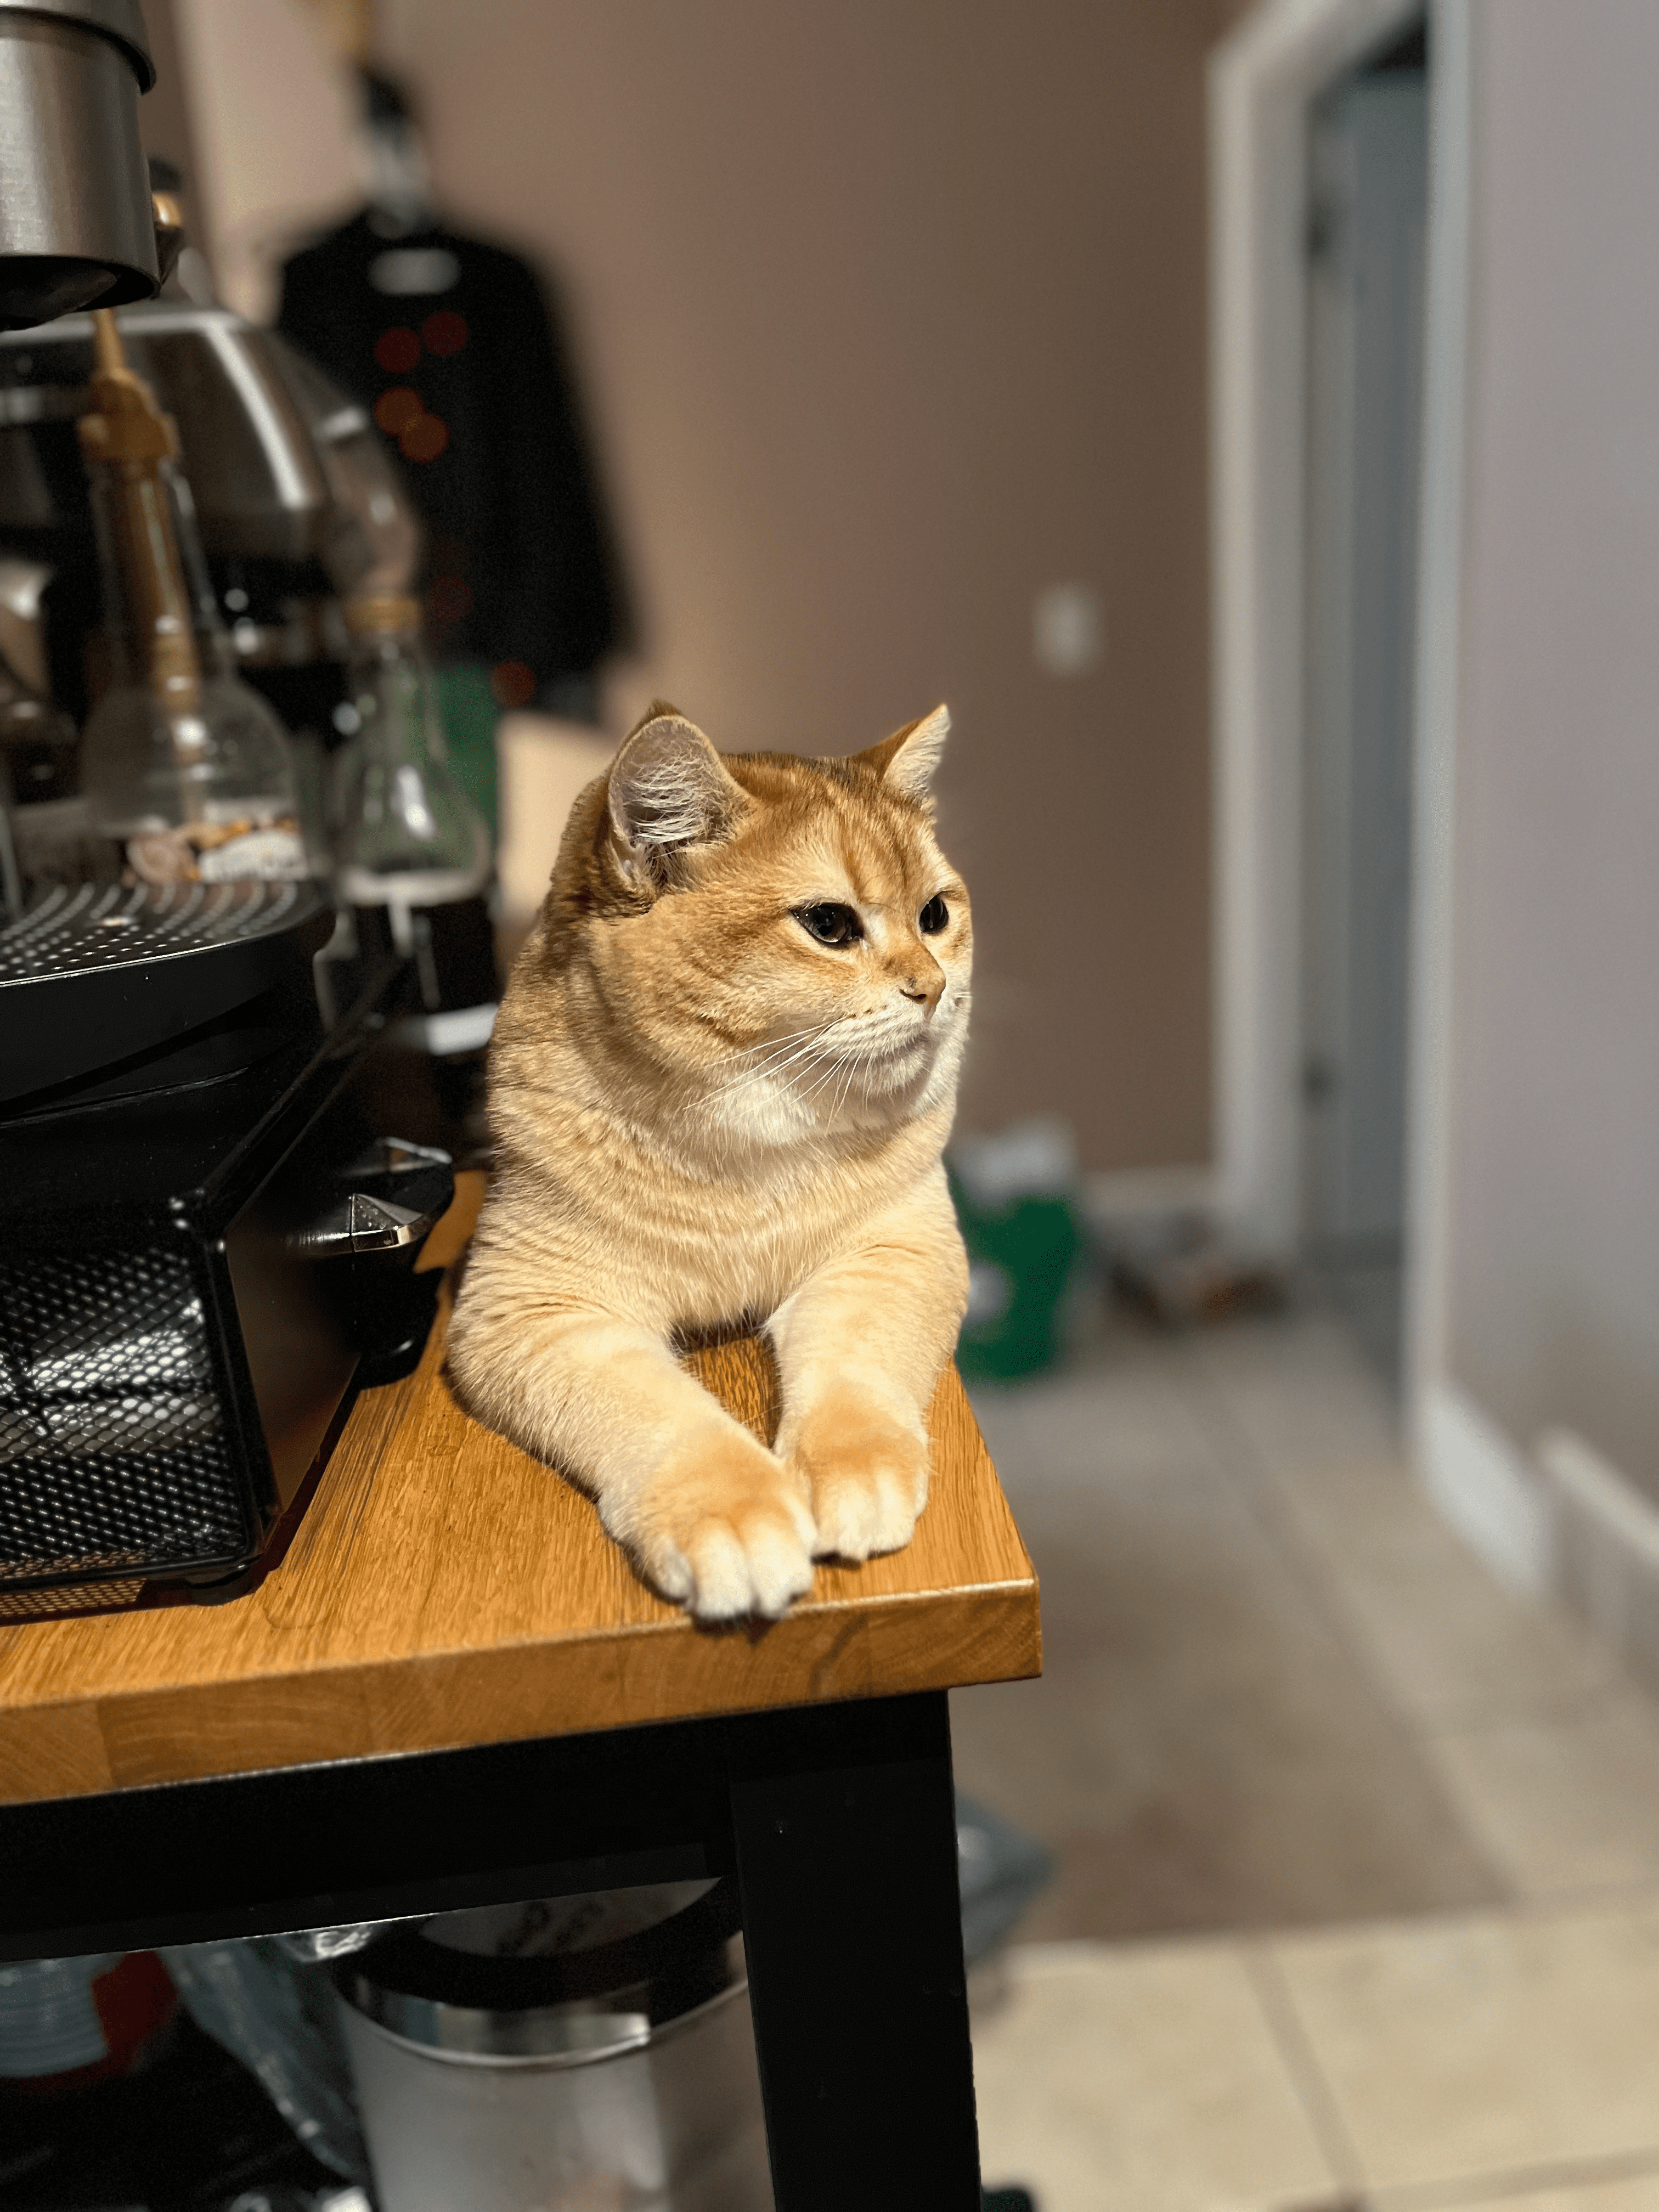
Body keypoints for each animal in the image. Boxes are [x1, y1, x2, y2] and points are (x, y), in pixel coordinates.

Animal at [449, 699, 982, 1619]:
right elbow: (669, 1418)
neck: (745, 1146)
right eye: (830, 925)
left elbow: (854, 1378)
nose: (933, 989)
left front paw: (856, 1472)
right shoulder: (539, 1311)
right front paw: (736, 1517)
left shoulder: (891, 1252)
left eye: (935, 916)